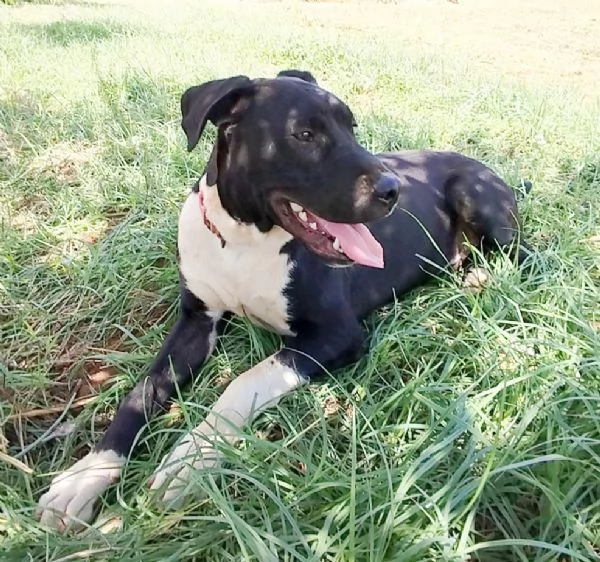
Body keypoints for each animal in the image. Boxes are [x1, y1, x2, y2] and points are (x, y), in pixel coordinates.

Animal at [35, 70, 528, 528]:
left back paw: (481, 277)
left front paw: (189, 458)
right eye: (304, 135)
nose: (393, 190)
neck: (243, 240)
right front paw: (86, 475)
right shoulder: (196, 322)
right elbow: (142, 392)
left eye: (352, 127)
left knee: (524, 255)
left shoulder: (338, 334)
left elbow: (244, 381)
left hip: (475, 198)